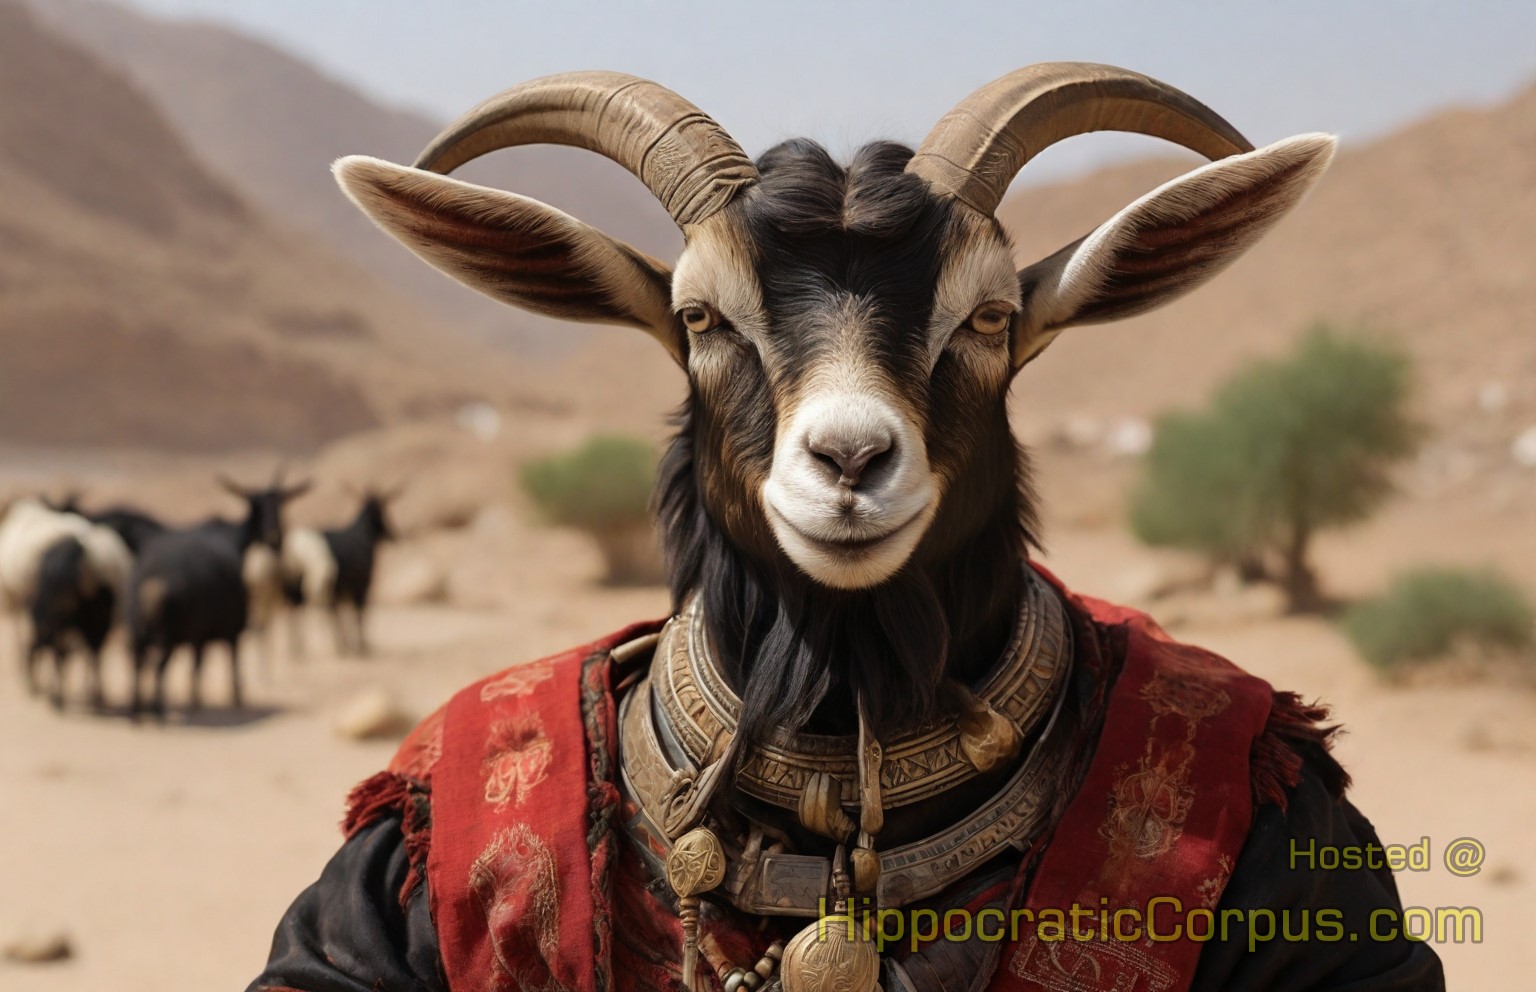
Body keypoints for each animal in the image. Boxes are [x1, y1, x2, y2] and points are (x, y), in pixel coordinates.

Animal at [127, 472, 309, 719]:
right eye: (257, 506)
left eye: (280, 504)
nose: (275, 539)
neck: (235, 540)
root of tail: (153, 582)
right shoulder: (226, 628)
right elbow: (228, 660)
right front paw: (229, 699)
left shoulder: (201, 632)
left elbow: (200, 664)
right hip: (173, 634)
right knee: (161, 665)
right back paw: (160, 711)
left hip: (140, 629)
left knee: (139, 663)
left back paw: (138, 712)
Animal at [282, 488, 397, 657]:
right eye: (381, 512)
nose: (394, 534)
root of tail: (294, 551)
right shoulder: (360, 586)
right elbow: (358, 613)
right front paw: (360, 646)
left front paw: (352, 645)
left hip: (300, 587)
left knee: (297, 610)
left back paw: (298, 648)